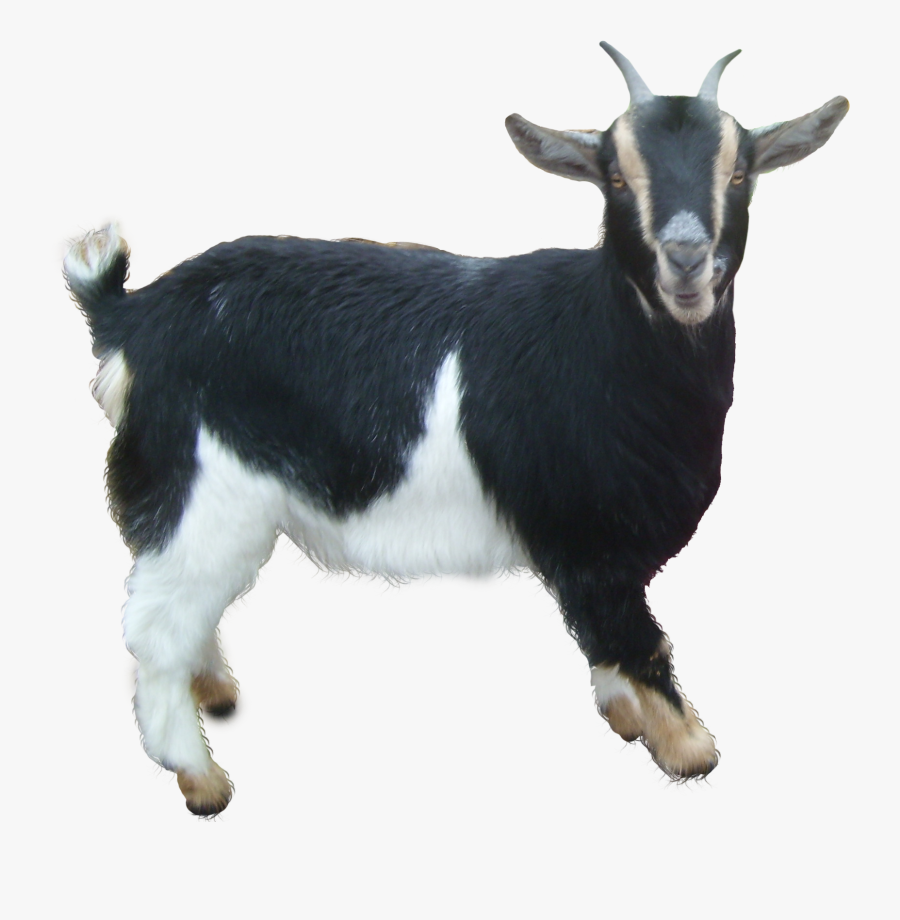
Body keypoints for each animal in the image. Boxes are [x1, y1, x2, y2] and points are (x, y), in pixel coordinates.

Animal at [64, 44, 847, 815]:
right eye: (617, 176)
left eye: (740, 171)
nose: (686, 258)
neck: (602, 339)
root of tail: (134, 315)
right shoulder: (590, 541)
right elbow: (636, 640)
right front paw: (688, 749)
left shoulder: (584, 549)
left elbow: (606, 641)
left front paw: (625, 714)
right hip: (202, 490)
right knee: (156, 628)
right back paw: (200, 778)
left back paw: (215, 690)